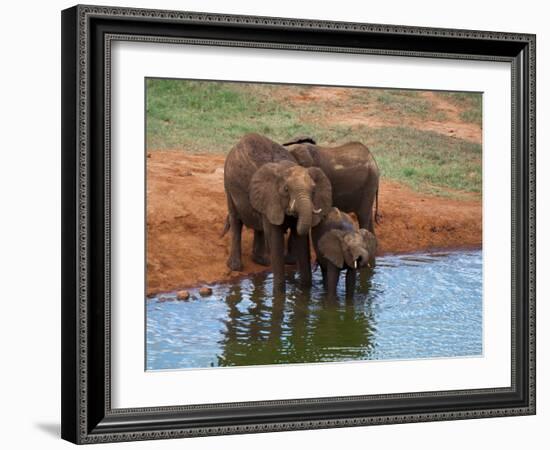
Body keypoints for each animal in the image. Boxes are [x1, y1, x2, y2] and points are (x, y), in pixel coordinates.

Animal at [224, 131, 332, 292]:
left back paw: (262, 261)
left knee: (259, 225)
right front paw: (279, 293)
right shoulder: (271, 197)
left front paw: (304, 289)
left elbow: (300, 238)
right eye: (286, 190)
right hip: (228, 185)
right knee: (236, 220)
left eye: (313, 191)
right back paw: (236, 267)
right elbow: (275, 237)